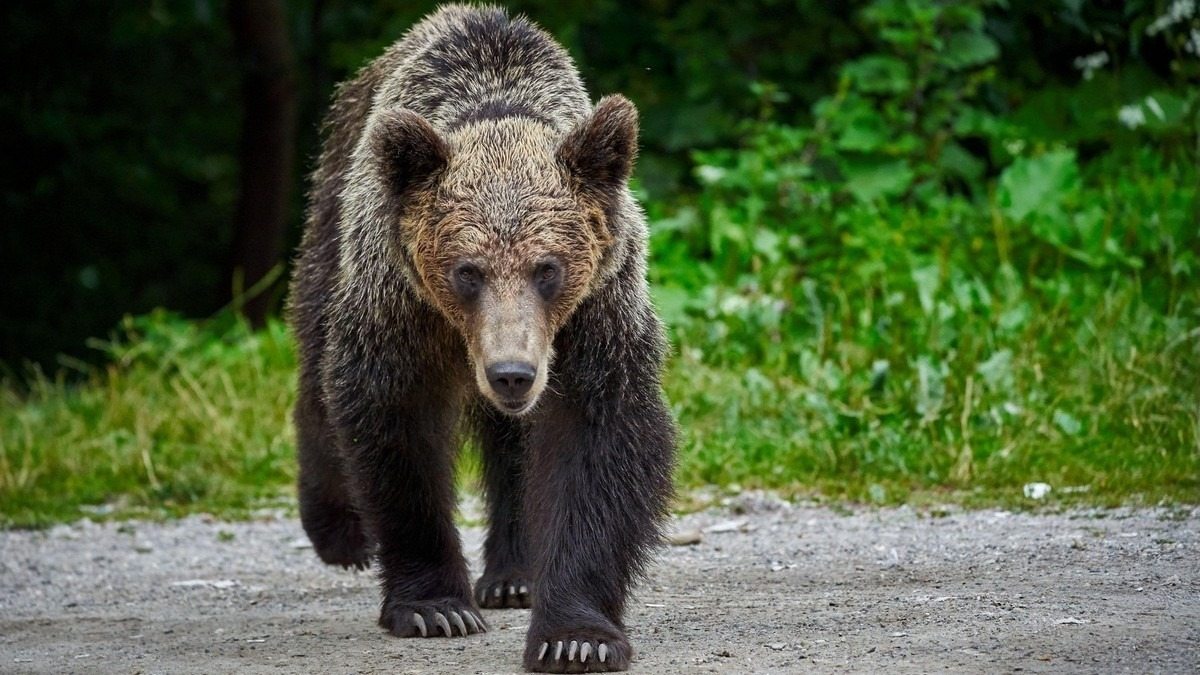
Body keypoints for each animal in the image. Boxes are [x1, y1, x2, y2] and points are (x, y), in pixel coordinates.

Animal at [283, 3, 676, 667]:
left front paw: (576, 636)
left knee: (513, 445)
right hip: (331, 228)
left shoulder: (595, 313)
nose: (511, 374)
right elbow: (396, 425)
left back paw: (514, 574)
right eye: (467, 271)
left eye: (548, 268)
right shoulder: (402, 305)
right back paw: (339, 530)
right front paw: (434, 605)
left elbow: (595, 441)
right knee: (317, 362)